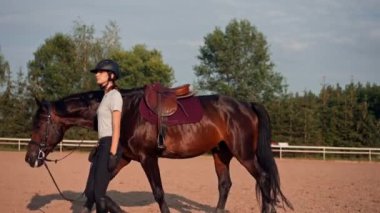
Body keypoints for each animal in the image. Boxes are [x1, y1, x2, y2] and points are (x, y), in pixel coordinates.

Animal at [25, 85, 292, 212]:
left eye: (39, 123)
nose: (30, 158)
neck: (124, 111)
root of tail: (246, 104)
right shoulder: (121, 158)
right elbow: (94, 191)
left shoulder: (147, 158)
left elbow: (159, 193)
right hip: (221, 153)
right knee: (225, 185)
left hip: (244, 154)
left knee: (264, 178)